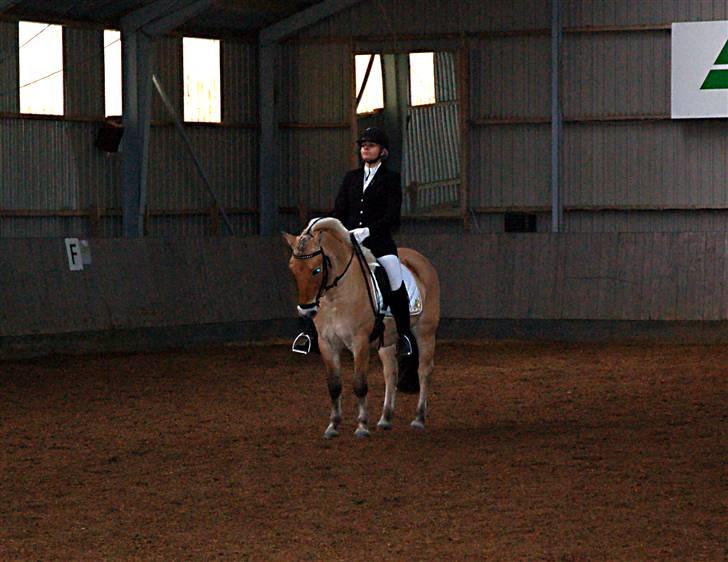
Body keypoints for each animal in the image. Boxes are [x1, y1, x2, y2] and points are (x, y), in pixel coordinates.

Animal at [282, 215, 440, 438]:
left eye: (317, 270)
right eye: (292, 268)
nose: (306, 310)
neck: (336, 295)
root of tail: (420, 260)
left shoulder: (360, 342)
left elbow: (359, 385)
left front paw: (362, 427)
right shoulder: (327, 343)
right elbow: (334, 386)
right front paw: (333, 426)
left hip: (425, 331)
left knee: (424, 371)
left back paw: (418, 419)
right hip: (387, 340)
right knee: (390, 374)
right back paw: (385, 419)